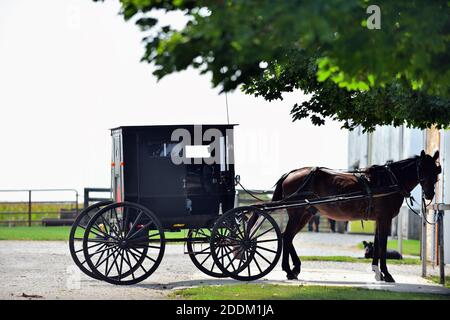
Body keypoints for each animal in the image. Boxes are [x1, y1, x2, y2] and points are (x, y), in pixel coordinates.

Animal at [272, 151, 442, 282]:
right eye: (422, 169)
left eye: (436, 170)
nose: (429, 194)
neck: (390, 181)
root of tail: (291, 173)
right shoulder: (385, 219)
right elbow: (382, 245)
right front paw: (386, 274)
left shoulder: (378, 220)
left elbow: (377, 244)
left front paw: (377, 272)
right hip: (298, 212)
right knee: (287, 236)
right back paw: (289, 270)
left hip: (306, 213)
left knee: (288, 237)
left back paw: (294, 268)